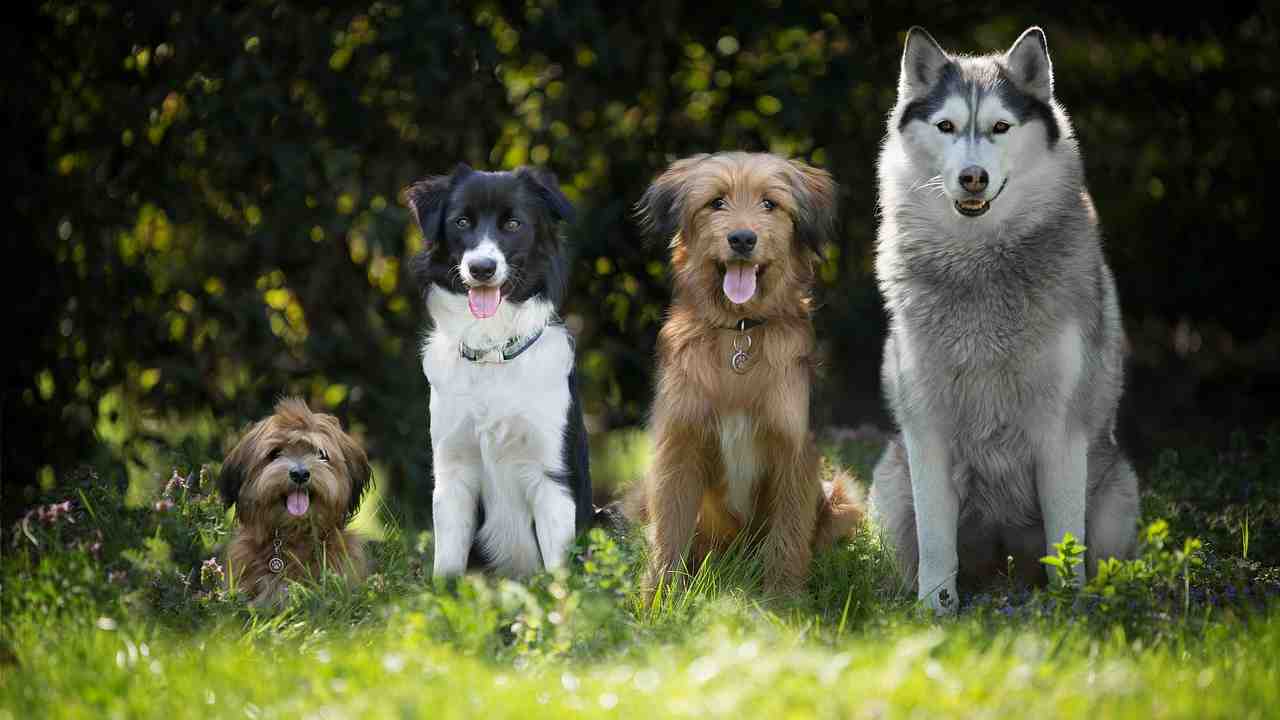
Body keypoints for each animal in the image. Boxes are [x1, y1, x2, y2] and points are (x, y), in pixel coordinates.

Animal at [632, 151, 865, 594]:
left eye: (770, 204)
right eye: (716, 202)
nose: (742, 239)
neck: (739, 332)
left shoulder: (794, 449)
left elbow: (788, 537)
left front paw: (783, 600)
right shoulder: (679, 447)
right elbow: (669, 534)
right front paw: (657, 599)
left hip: (843, 496)